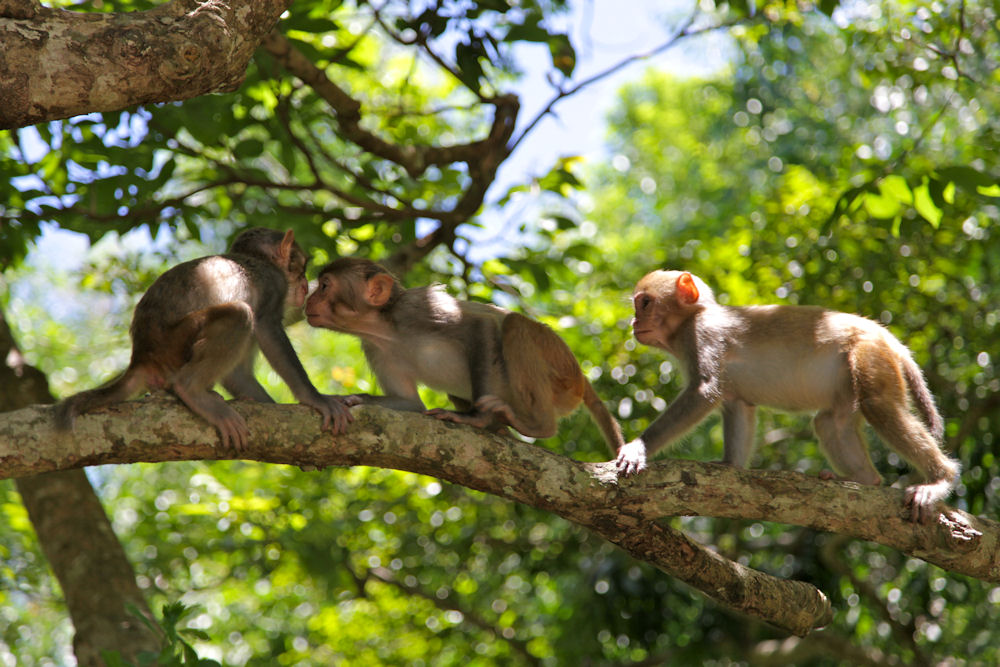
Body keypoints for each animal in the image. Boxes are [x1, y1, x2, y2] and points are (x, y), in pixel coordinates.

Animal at [55, 227, 352, 452]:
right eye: (300, 267)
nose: (303, 285)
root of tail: (141, 354)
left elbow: (237, 374)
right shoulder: (272, 286)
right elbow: (267, 328)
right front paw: (315, 398)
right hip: (175, 342)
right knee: (240, 314)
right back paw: (192, 391)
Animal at [302, 258, 624, 456]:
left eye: (325, 286)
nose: (308, 298)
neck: (386, 329)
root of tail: (581, 377)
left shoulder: (417, 308)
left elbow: (480, 326)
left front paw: (475, 419)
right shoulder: (375, 348)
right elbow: (410, 403)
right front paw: (352, 399)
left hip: (561, 374)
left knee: (515, 326)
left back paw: (535, 425)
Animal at [616, 268, 960, 524]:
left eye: (644, 303)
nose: (634, 322)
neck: (691, 319)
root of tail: (885, 335)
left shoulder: (701, 335)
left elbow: (704, 391)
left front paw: (637, 448)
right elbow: (737, 403)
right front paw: (729, 465)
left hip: (869, 353)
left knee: (879, 406)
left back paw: (940, 479)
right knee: (830, 422)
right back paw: (865, 479)